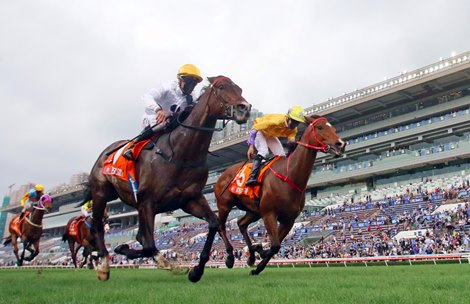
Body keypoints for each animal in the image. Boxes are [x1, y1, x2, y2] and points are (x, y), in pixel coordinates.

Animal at [86, 76, 252, 282]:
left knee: (140, 236)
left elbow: (213, 223)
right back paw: (103, 266)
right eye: (221, 87)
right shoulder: (147, 200)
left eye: (240, 89)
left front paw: (196, 270)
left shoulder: (189, 199)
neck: (181, 153)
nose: (245, 107)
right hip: (101, 193)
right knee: (98, 226)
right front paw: (124, 249)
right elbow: (149, 244)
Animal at [214, 116, 346, 276]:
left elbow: (275, 246)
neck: (290, 176)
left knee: (241, 224)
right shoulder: (269, 213)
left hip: (254, 211)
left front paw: (257, 263)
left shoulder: (288, 220)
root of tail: (222, 174)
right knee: (221, 226)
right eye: (320, 127)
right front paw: (260, 251)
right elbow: (275, 245)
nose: (341, 144)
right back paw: (230, 257)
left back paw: (251, 256)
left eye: (333, 128)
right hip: (224, 205)